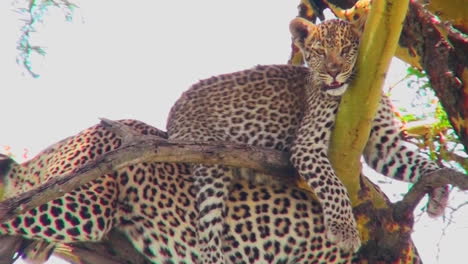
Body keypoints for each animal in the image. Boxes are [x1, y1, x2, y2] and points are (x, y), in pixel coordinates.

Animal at [168, 17, 450, 262]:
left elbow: (423, 164)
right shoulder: (307, 145)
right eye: (320, 52)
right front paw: (345, 231)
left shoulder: (383, 145)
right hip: (209, 161)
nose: (333, 72)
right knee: (206, 225)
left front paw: (440, 194)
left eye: (346, 49)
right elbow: (334, 186)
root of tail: (175, 107)